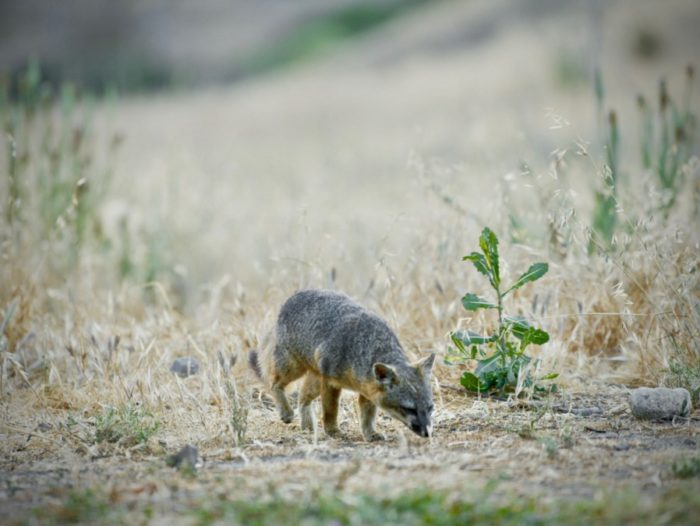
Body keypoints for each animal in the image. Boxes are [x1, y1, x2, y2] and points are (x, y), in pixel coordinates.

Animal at [249, 288, 434, 442]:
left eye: (430, 408)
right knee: (273, 383)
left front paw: (370, 433)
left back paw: (307, 427)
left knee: (302, 397)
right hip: (294, 368)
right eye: (409, 409)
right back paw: (286, 412)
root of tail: (295, 294)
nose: (427, 433)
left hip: (314, 377)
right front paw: (333, 431)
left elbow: (367, 416)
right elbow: (330, 410)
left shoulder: (368, 391)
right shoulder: (330, 383)